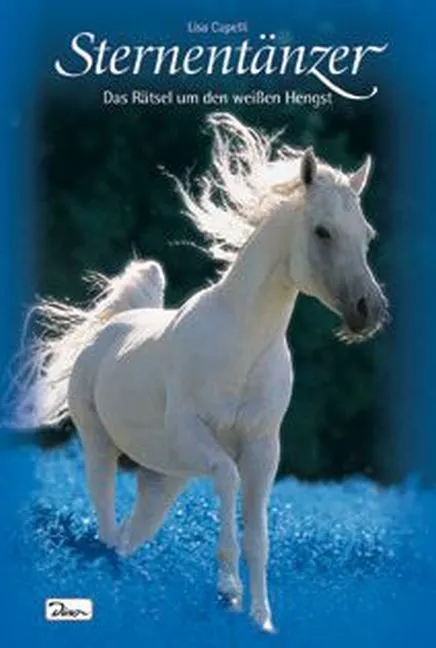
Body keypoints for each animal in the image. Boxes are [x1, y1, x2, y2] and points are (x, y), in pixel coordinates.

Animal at [6, 113, 389, 632]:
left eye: (366, 235)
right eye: (323, 231)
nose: (370, 311)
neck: (243, 346)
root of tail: (109, 332)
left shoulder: (264, 449)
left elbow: (259, 537)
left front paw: (261, 620)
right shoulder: (194, 435)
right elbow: (226, 480)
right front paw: (227, 591)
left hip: (163, 478)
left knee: (127, 535)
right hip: (101, 449)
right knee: (106, 526)